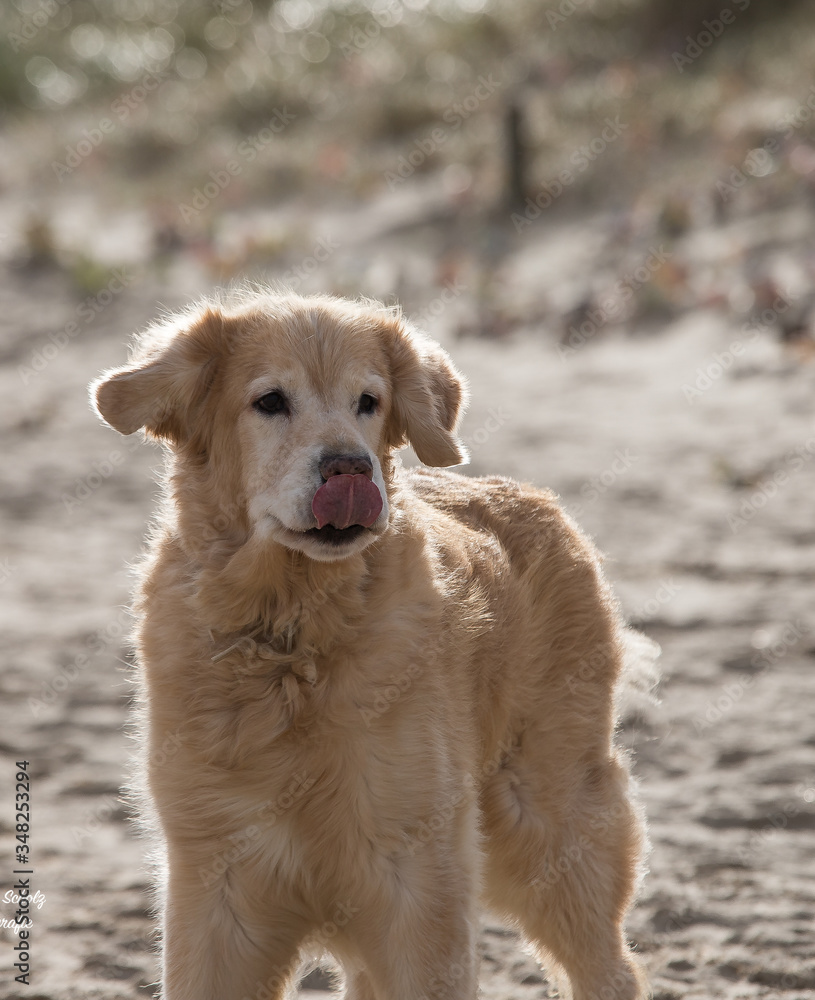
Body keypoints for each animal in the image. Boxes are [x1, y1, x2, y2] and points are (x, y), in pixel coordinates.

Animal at [91, 290, 656, 1000]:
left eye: (370, 401)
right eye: (270, 401)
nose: (350, 468)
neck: (292, 633)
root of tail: (542, 501)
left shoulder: (416, 878)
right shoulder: (216, 883)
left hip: (546, 828)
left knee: (609, 964)